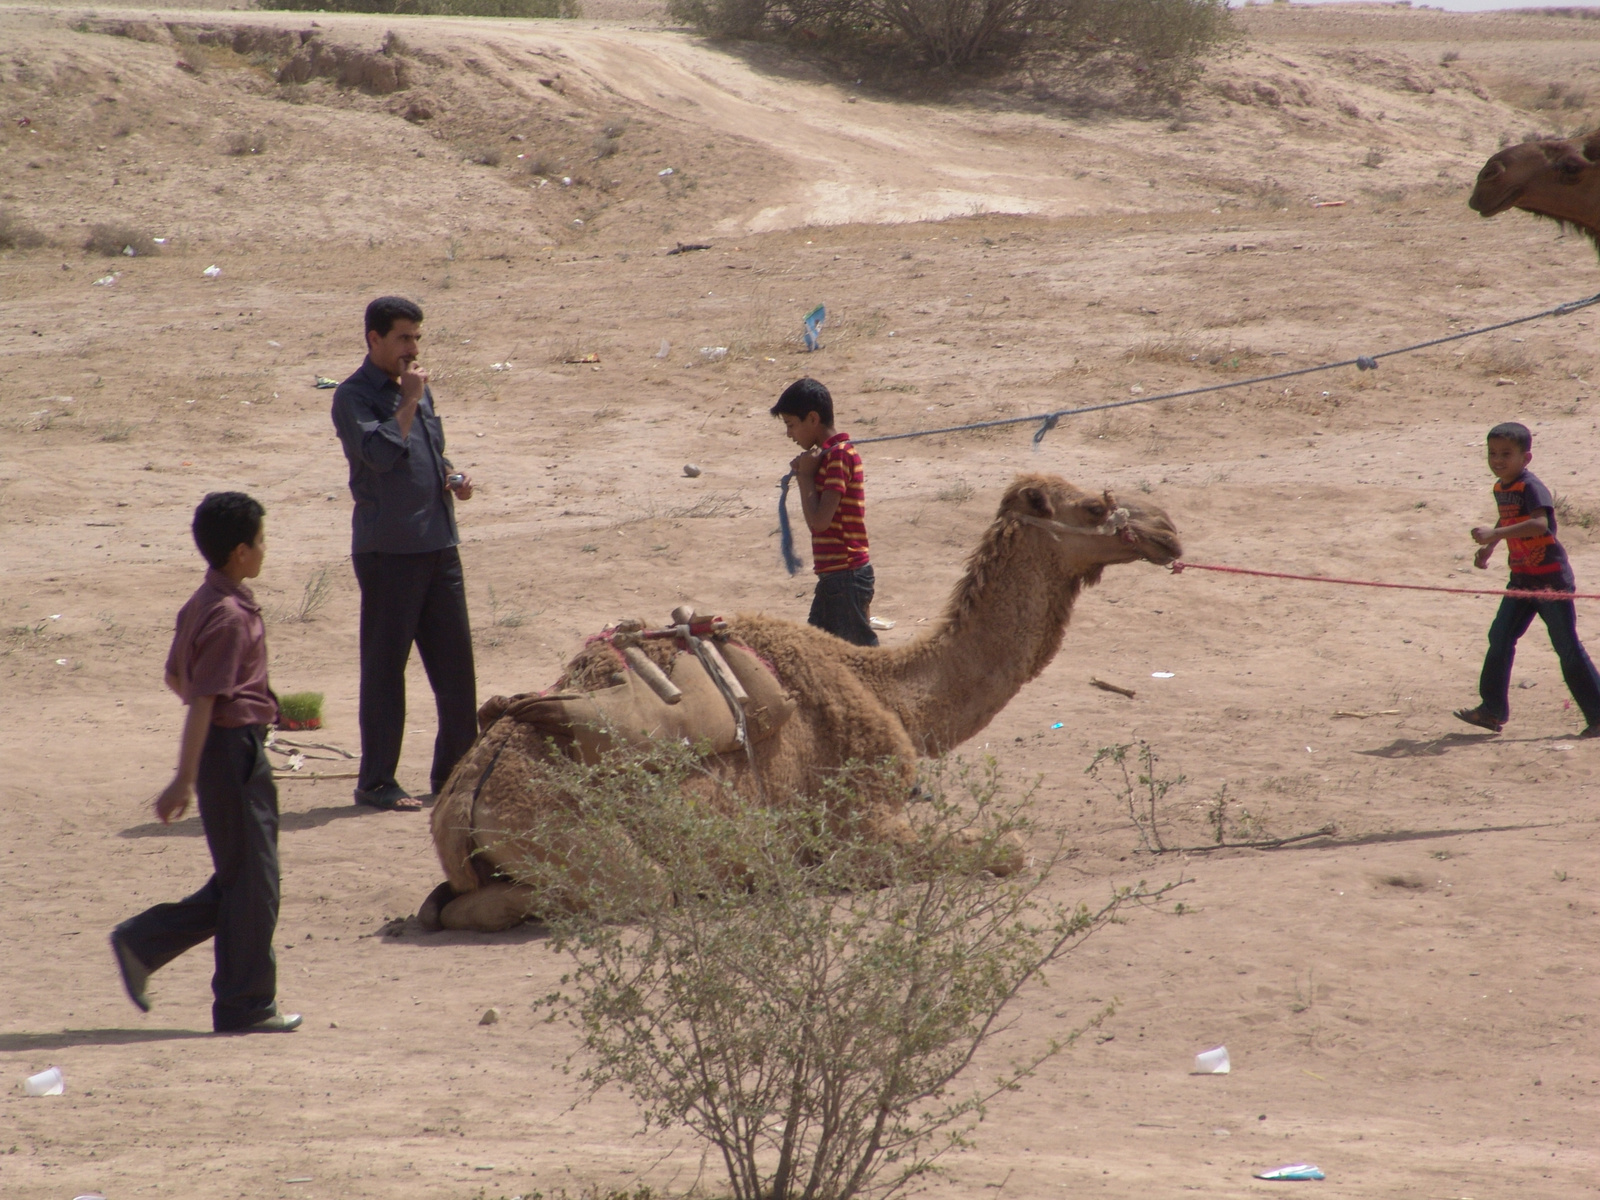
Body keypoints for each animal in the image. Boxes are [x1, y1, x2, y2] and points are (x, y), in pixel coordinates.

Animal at [419, 473, 1184, 934]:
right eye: (1095, 507)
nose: (1167, 528)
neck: (889, 691)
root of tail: (462, 800)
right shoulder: (860, 824)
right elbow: (1009, 849)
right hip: (574, 835)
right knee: (634, 887)